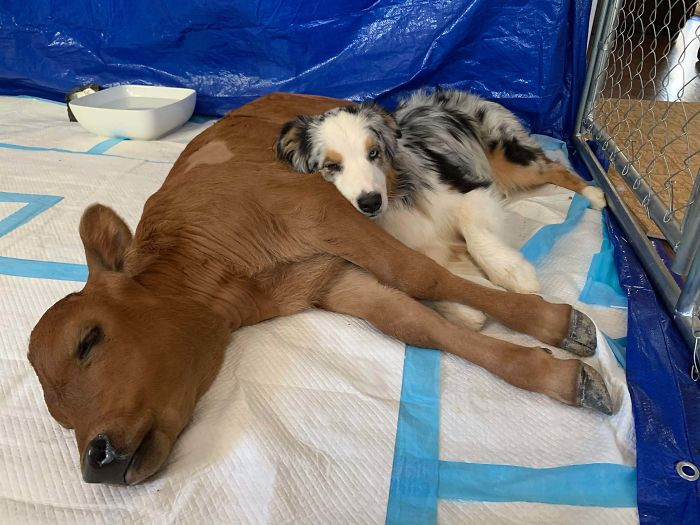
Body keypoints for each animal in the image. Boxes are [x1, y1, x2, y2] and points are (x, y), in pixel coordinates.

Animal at [276, 88, 604, 330]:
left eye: (374, 153)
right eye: (331, 166)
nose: (370, 202)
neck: (396, 196)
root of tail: (454, 93)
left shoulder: (469, 189)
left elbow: (475, 234)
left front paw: (512, 272)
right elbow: (431, 278)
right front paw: (467, 308)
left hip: (508, 157)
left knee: (555, 166)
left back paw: (595, 194)